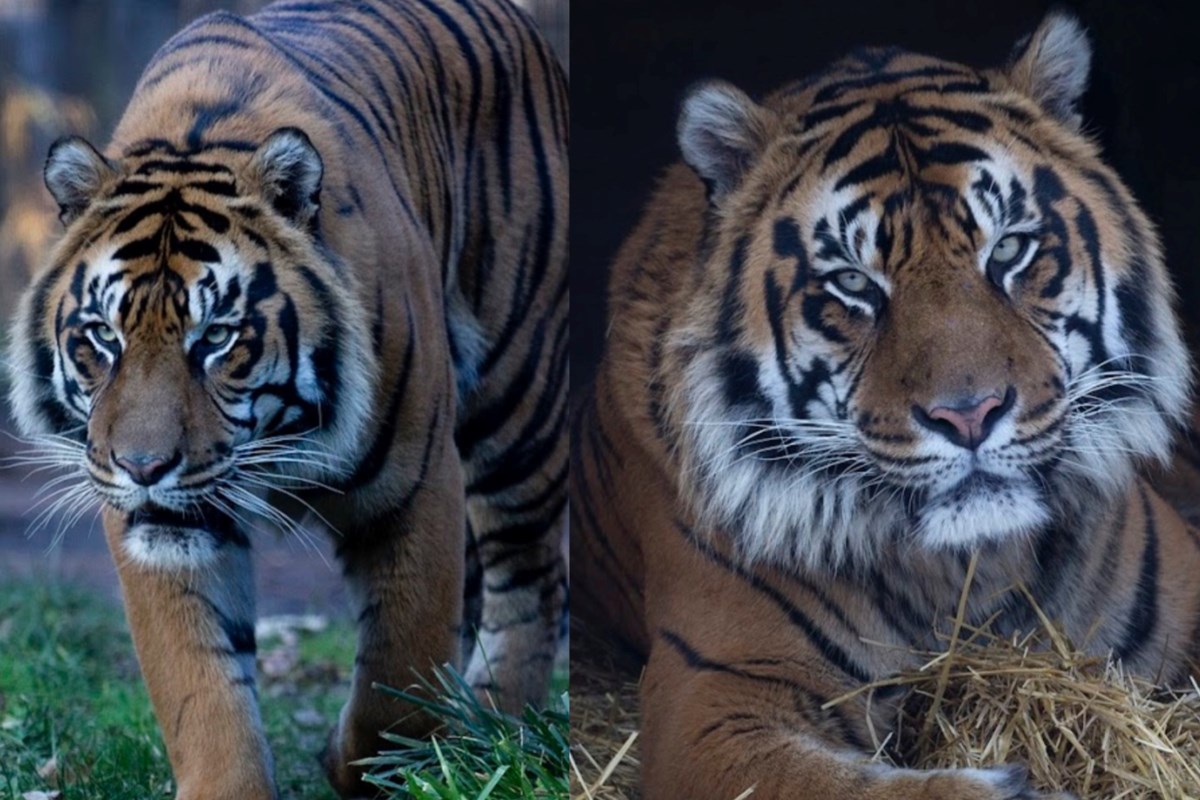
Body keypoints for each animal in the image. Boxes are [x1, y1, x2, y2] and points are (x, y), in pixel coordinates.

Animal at [5, 1, 567, 797]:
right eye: (103, 337)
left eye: (216, 337)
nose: (143, 469)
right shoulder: (161, 531)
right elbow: (201, 688)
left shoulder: (419, 482)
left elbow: (400, 669)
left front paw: (373, 760)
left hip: (517, 395)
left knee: (530, 578)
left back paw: (494, 734)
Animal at [571, 10, 1200, 800]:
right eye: (853, 284)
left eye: (1010, 251)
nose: (969, 414)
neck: (967, 573)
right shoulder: (714, 699)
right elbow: (835, 784)